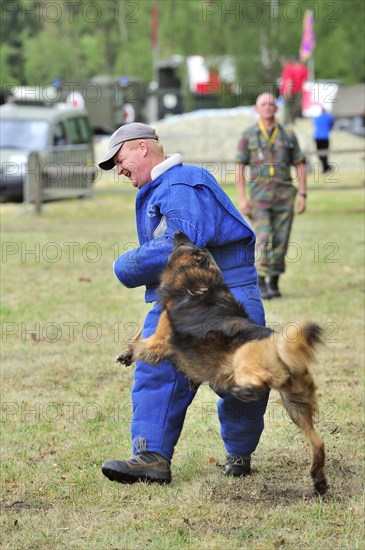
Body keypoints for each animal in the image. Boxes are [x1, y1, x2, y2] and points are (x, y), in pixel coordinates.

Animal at [117, 232, 328, 496]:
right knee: (318, 442)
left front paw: (129, 352)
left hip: (245, 362)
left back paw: (242, 390)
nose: (179, 232)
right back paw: (318, 479)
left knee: (258, 382)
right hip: (296, 406)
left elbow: (141, 343)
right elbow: (140, 337)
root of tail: (280, 343)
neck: (199, 282)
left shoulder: (161, 341)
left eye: (184, 243)